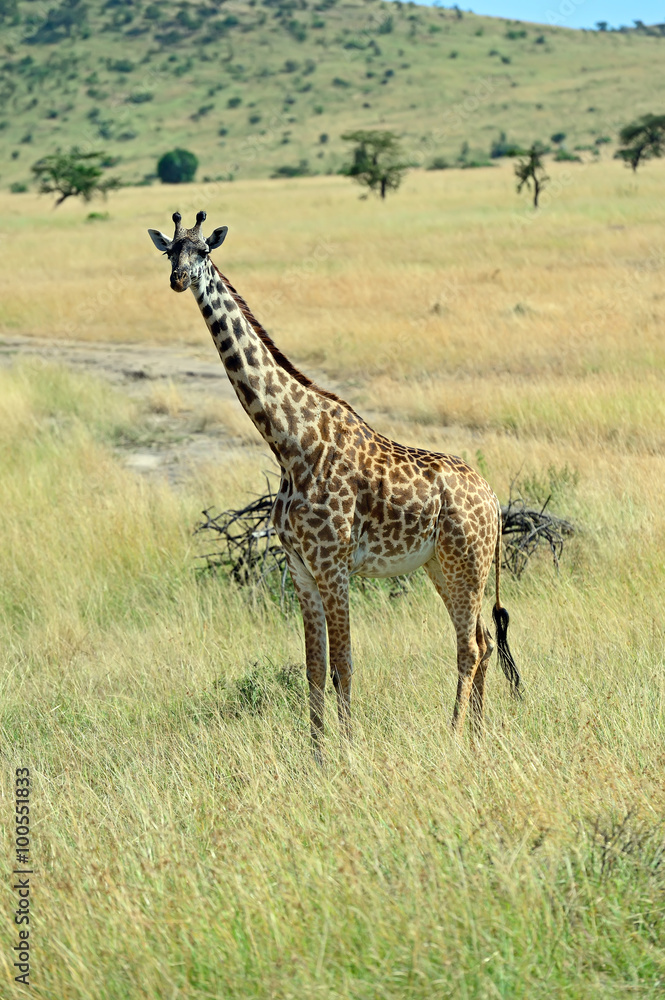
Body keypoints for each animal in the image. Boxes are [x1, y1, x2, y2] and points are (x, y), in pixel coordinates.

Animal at [148, 211, 520, 755]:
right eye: (170, 251)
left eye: (204, 252)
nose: (178, 280)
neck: (289, 444)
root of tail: (493, 499)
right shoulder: (301, 570)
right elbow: (314, 669)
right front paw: (317, 754)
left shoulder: (333, 566)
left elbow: (344, 665)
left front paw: (347, 752)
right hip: (442, 566)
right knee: (485, 642)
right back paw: (476, 737)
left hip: (466, 563)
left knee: (471, 647)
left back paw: (453, 736)